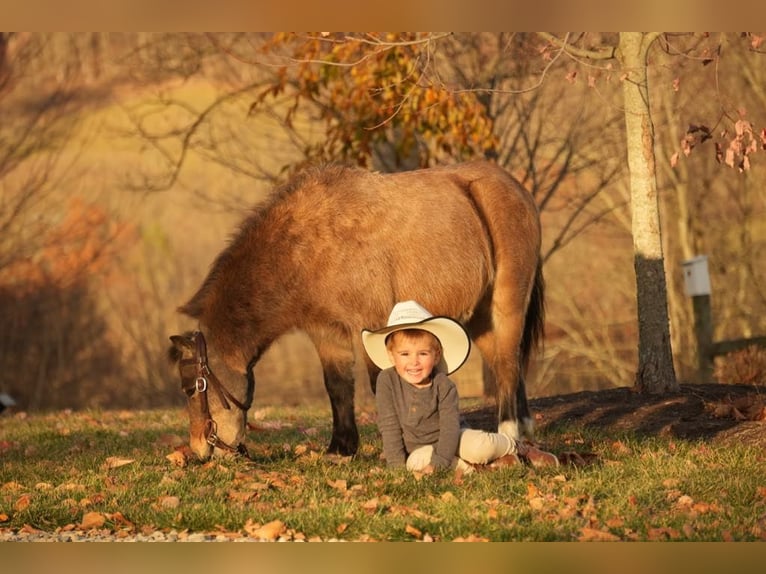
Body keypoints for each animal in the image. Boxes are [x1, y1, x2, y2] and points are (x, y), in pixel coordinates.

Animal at [169, 161, 544, 464]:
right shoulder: (326, 332)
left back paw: (509, 434)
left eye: (191, 389)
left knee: (507, 364)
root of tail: (515, 187)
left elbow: (382, 383)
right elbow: (337, 387)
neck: (307, 245)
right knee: (507, 363)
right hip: (480, 318)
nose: (201, 450)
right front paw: (341, 449)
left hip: (505, 306)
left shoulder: (372, 324)